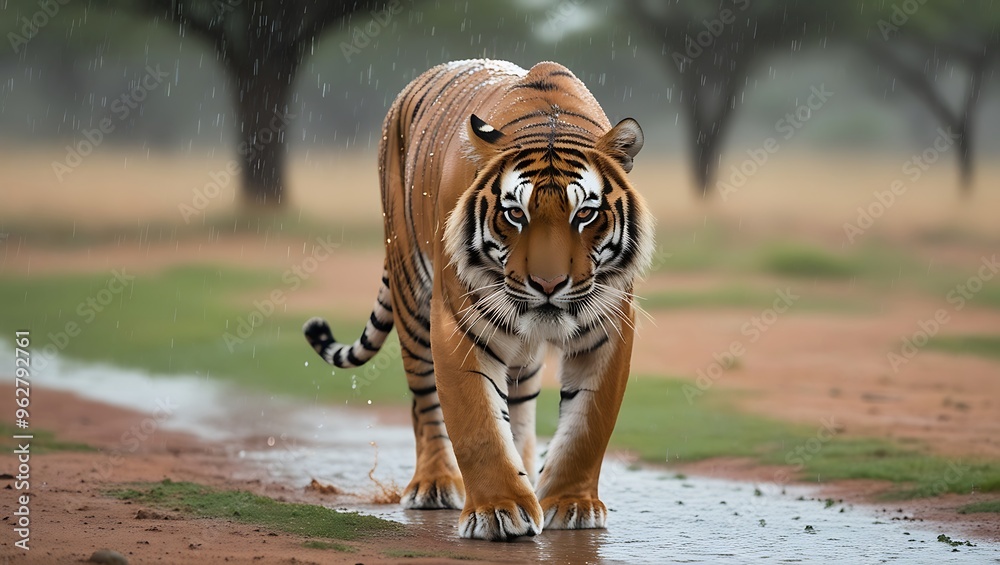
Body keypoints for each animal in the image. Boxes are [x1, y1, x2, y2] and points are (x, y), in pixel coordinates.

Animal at [303, 59, 654, 541]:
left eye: (585, 213)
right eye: (515, 213)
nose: (548, 284)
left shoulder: (607, 331)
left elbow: (587, 426)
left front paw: (571, 504)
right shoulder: (459, 323)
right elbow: (478, 423)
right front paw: (499, 510)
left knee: (519, 405)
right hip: (411, 294)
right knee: (425, 403)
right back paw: (434, 485)